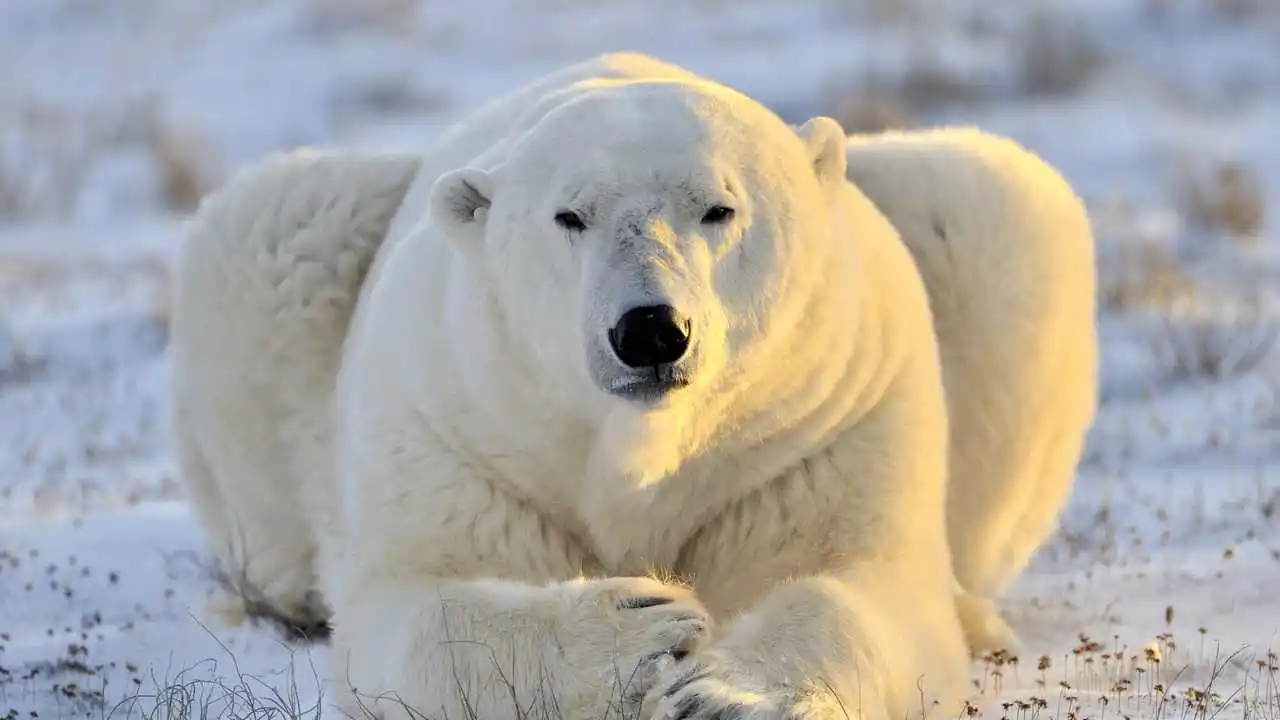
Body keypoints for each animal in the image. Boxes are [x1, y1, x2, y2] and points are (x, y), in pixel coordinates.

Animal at [167, 51, 1095, 720]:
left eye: (719, 208)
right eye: (569, 215)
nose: (650, 329)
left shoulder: (826, 424)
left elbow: (858, 585)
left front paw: (727, 694)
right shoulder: (454, 423)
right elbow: (418, 607)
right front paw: (640, 629)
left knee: (994, 199)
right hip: (291, 256)